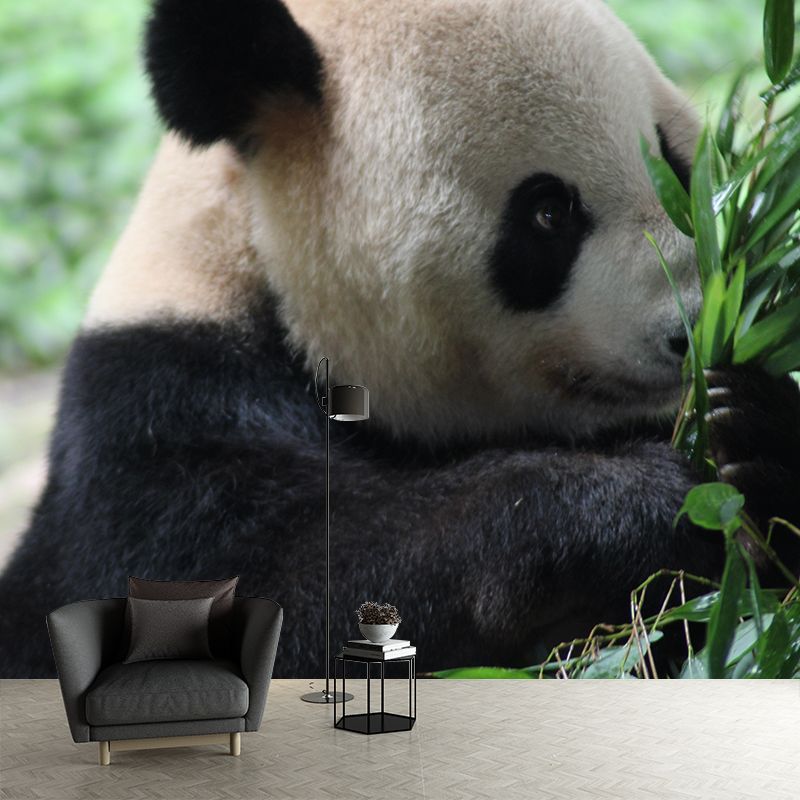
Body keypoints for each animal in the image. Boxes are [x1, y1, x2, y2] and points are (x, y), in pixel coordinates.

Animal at [1, 0, 799, 677]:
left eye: (674, 164)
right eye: (547, 214)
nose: (692, 327)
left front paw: (751, 433)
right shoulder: (154, 423)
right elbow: (287, 578)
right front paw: (625, 510)